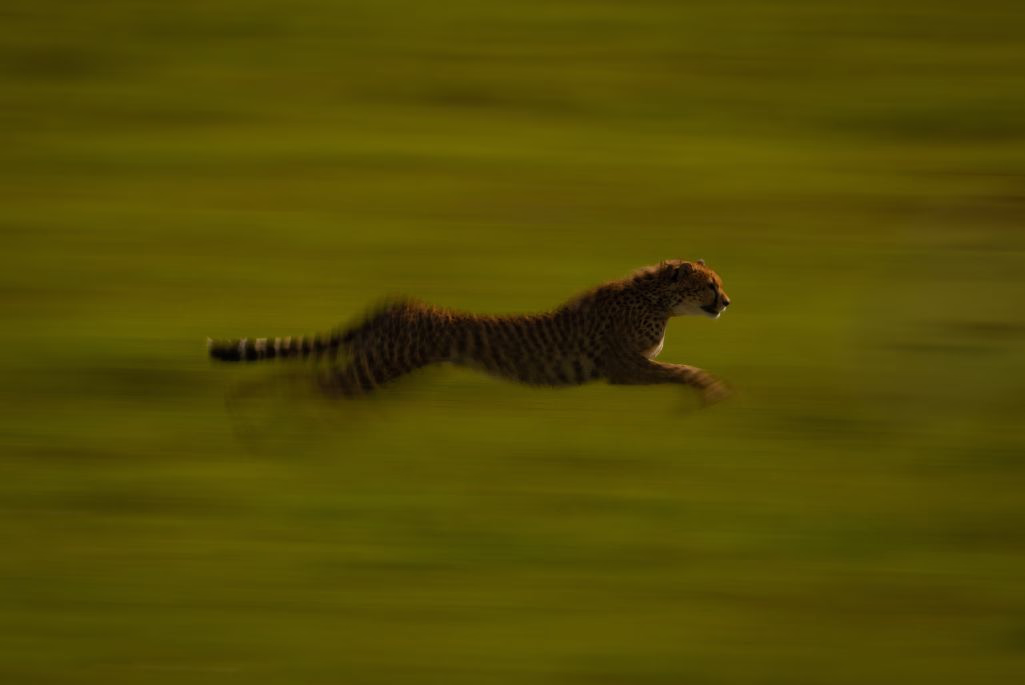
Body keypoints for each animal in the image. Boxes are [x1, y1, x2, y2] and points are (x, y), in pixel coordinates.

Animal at [208, 259, 732, 404]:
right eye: (711, 284)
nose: (727, 301)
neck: (656, 298)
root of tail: (401, 303)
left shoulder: (627, 367)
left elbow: (678, 367)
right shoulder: (623, 367)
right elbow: (683, 370)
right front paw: (709, 388)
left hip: (375, 365)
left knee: (314, 380)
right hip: (379, 368)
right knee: (312, 385)